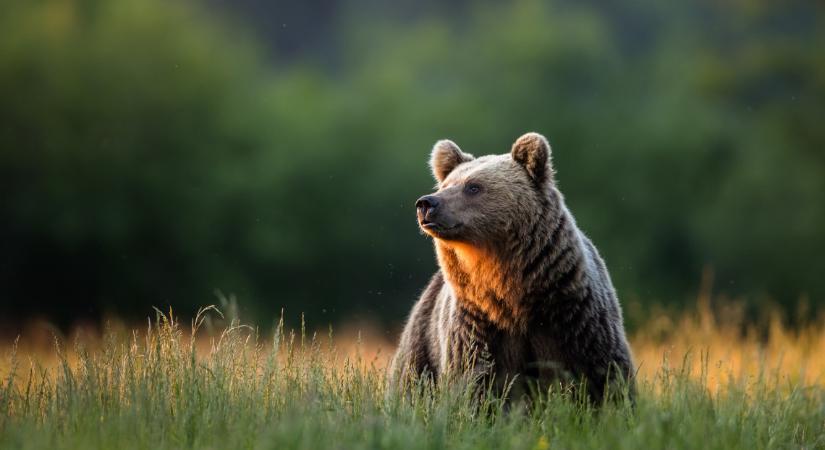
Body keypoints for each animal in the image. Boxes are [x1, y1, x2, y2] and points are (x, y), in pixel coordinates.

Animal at [390, 132, 636, 402]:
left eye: (473, 187)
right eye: (445, 186)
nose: (426, 203)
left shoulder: (573, 317)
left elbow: (604, 375)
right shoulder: (477, 326)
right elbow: (473, 383)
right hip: (422, 341)